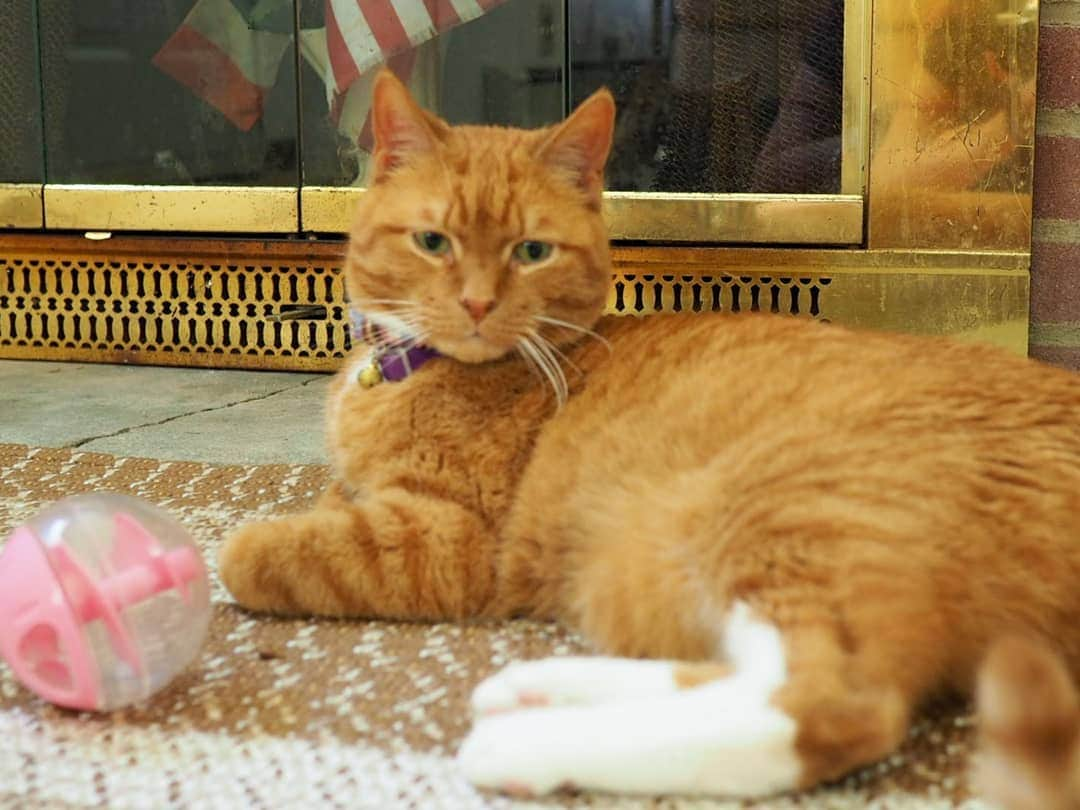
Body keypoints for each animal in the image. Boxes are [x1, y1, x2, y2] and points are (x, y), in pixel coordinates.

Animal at [214, 71, 1080, 799]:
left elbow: (260, 550)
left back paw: (530, 743)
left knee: (824, 704)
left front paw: (229, 548)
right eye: (433, 242)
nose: (476, 304)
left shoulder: (452, 540)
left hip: (781, 513)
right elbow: (332, 500)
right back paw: (538, 689)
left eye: (532, 250)